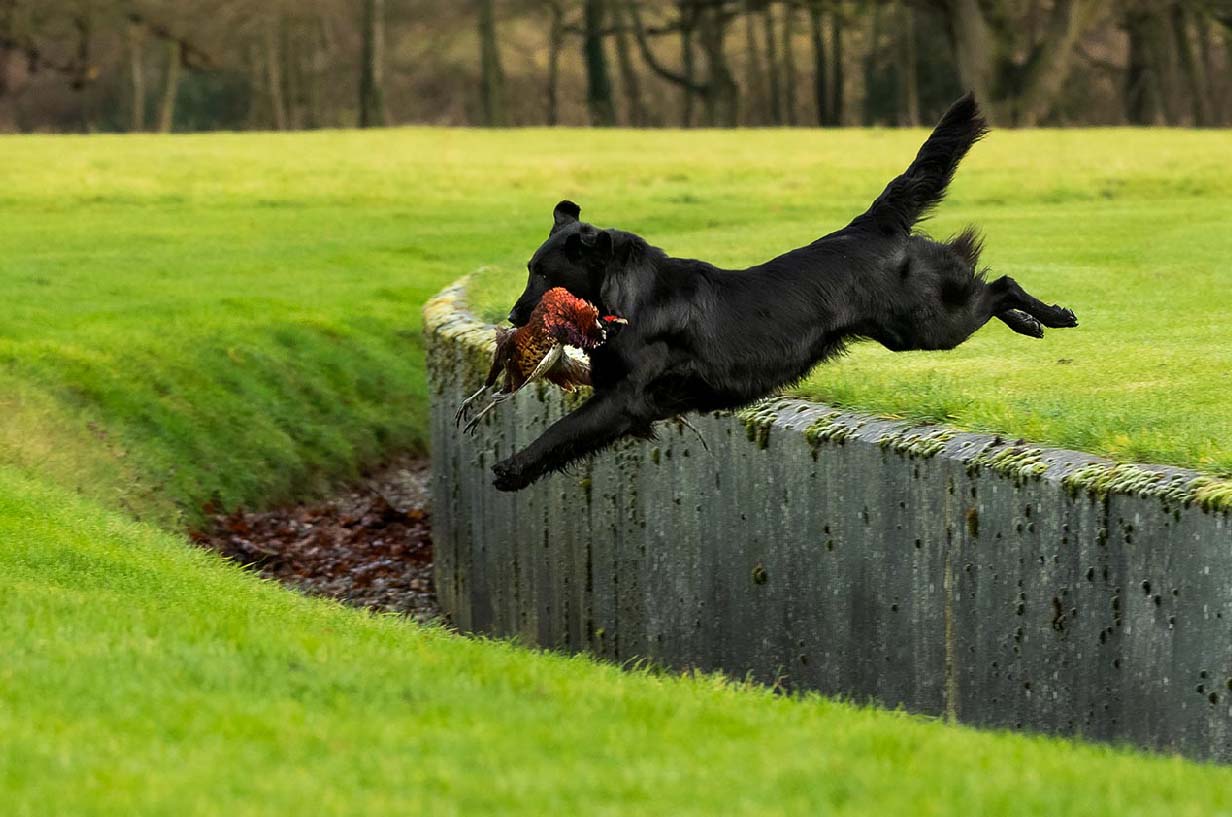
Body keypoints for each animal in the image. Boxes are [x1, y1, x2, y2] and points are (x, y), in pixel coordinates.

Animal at [485, 96, 1074, 492]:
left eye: (545, 276)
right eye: (530, 270)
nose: (513, 316)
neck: (631, 299)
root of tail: (872, 224)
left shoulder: (624, 398)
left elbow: (562, 431)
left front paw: (512, 467)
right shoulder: (621, 402)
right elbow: (572, 438)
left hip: (925, 324)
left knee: (998, 286)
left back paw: (1051, 315)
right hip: (916, 325)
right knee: (990, 290)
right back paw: (1032, 322)